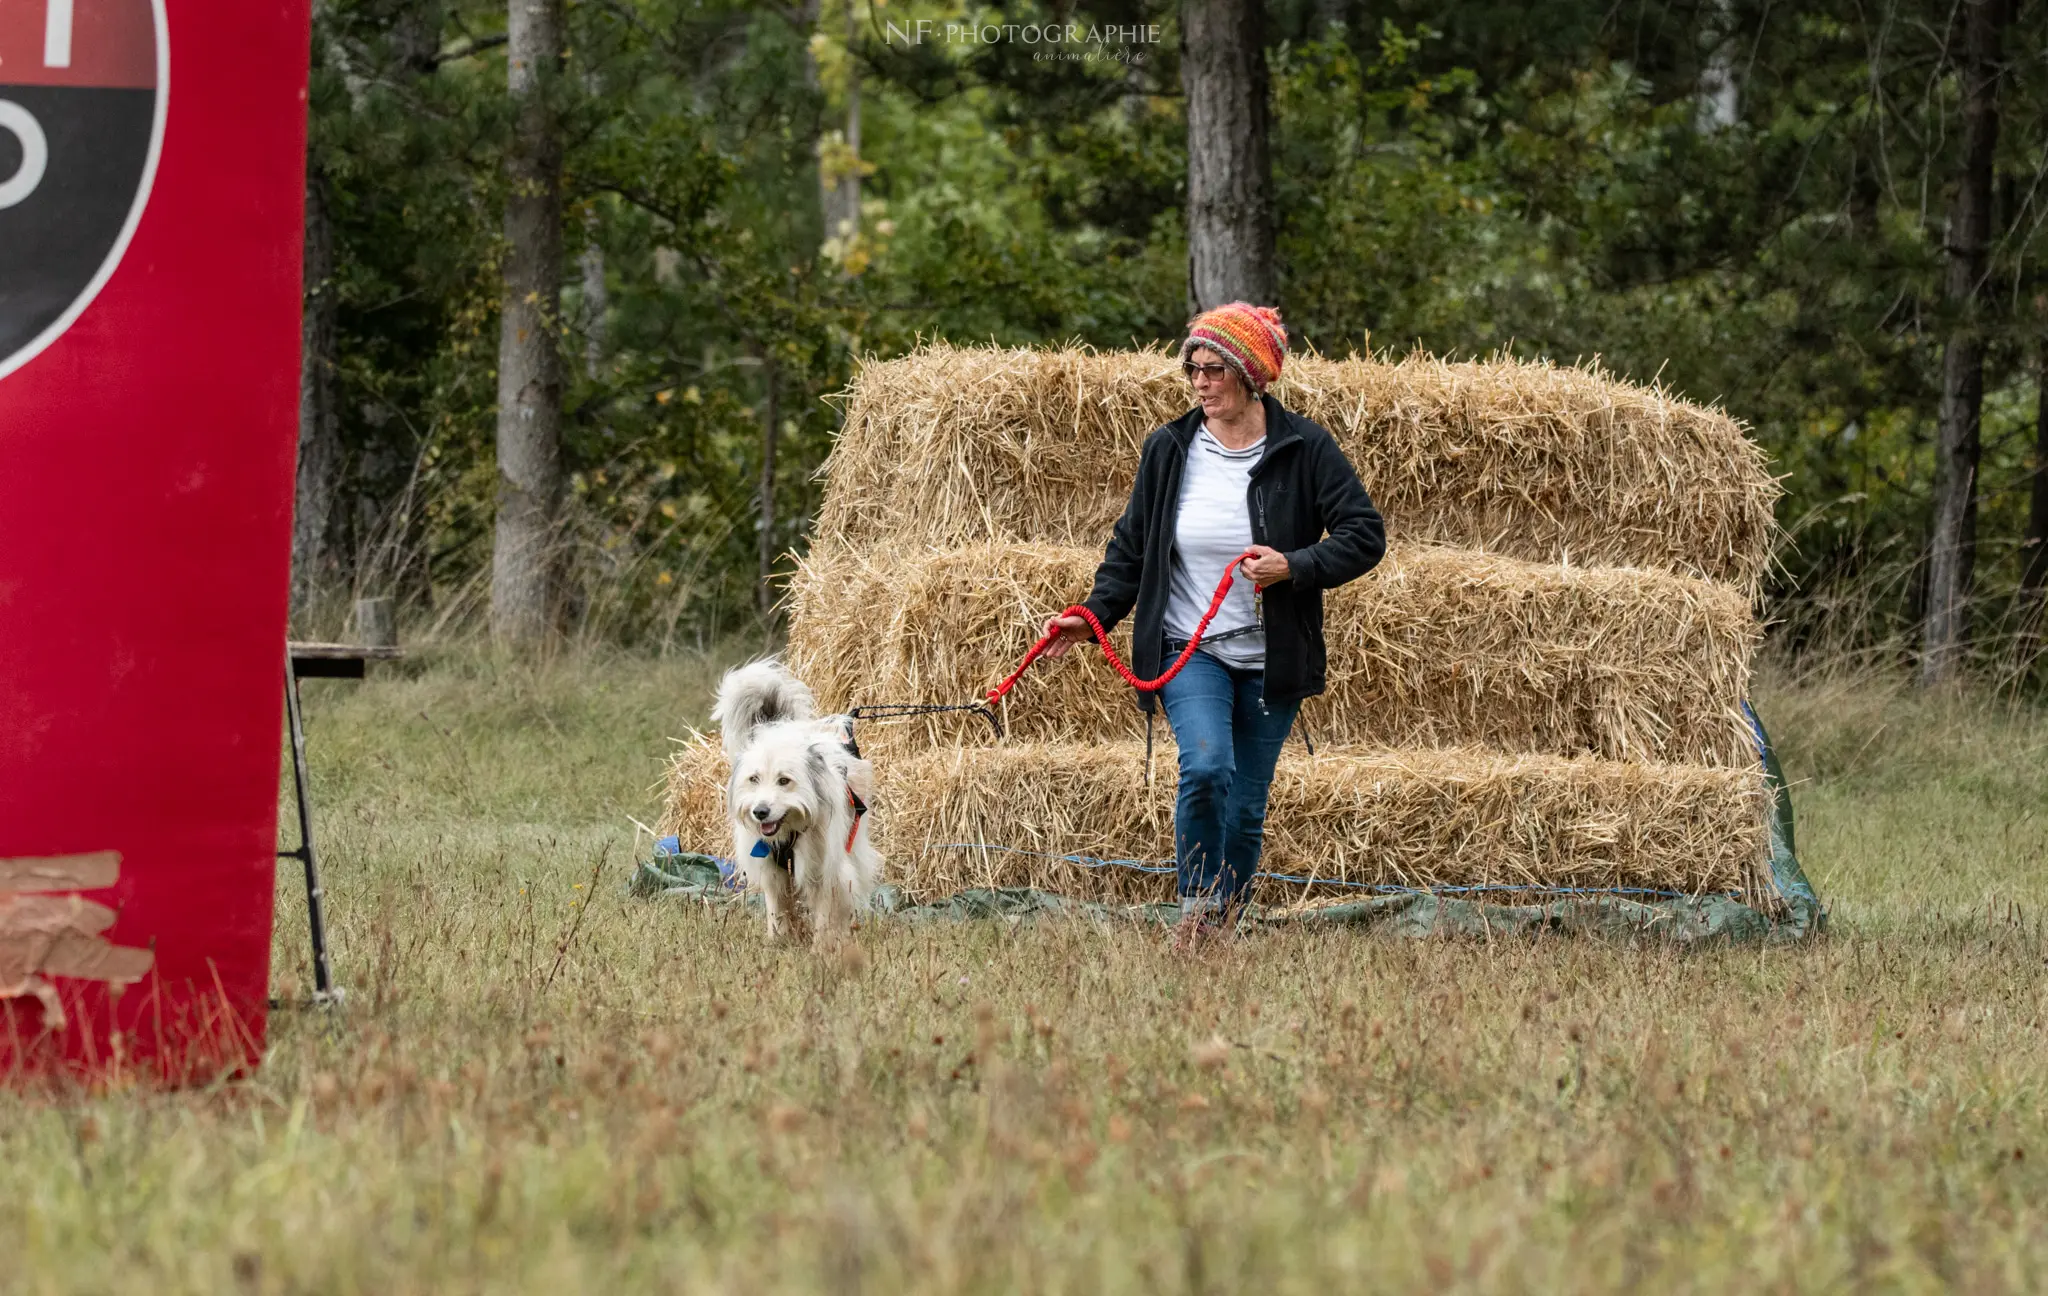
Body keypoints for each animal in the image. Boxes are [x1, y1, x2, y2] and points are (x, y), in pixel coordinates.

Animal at [712, 655, 880, 949]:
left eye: (784, 780)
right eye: (754, 779)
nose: (760, 812)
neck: (790, 831)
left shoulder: (825, 867)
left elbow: (825, 913)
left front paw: (822, 948)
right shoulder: (772, 870)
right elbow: (777, 908)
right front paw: (779, 941)